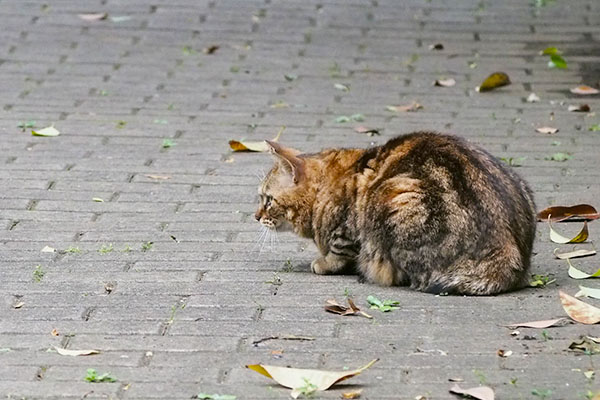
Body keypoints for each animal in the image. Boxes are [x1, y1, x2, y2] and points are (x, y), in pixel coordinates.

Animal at [255, 133, 536, 296]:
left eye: (267, 200)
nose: (255, 217)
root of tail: (507, 254)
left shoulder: (347, 232)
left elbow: (338, 253)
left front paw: (324, 263)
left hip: (396, 195)